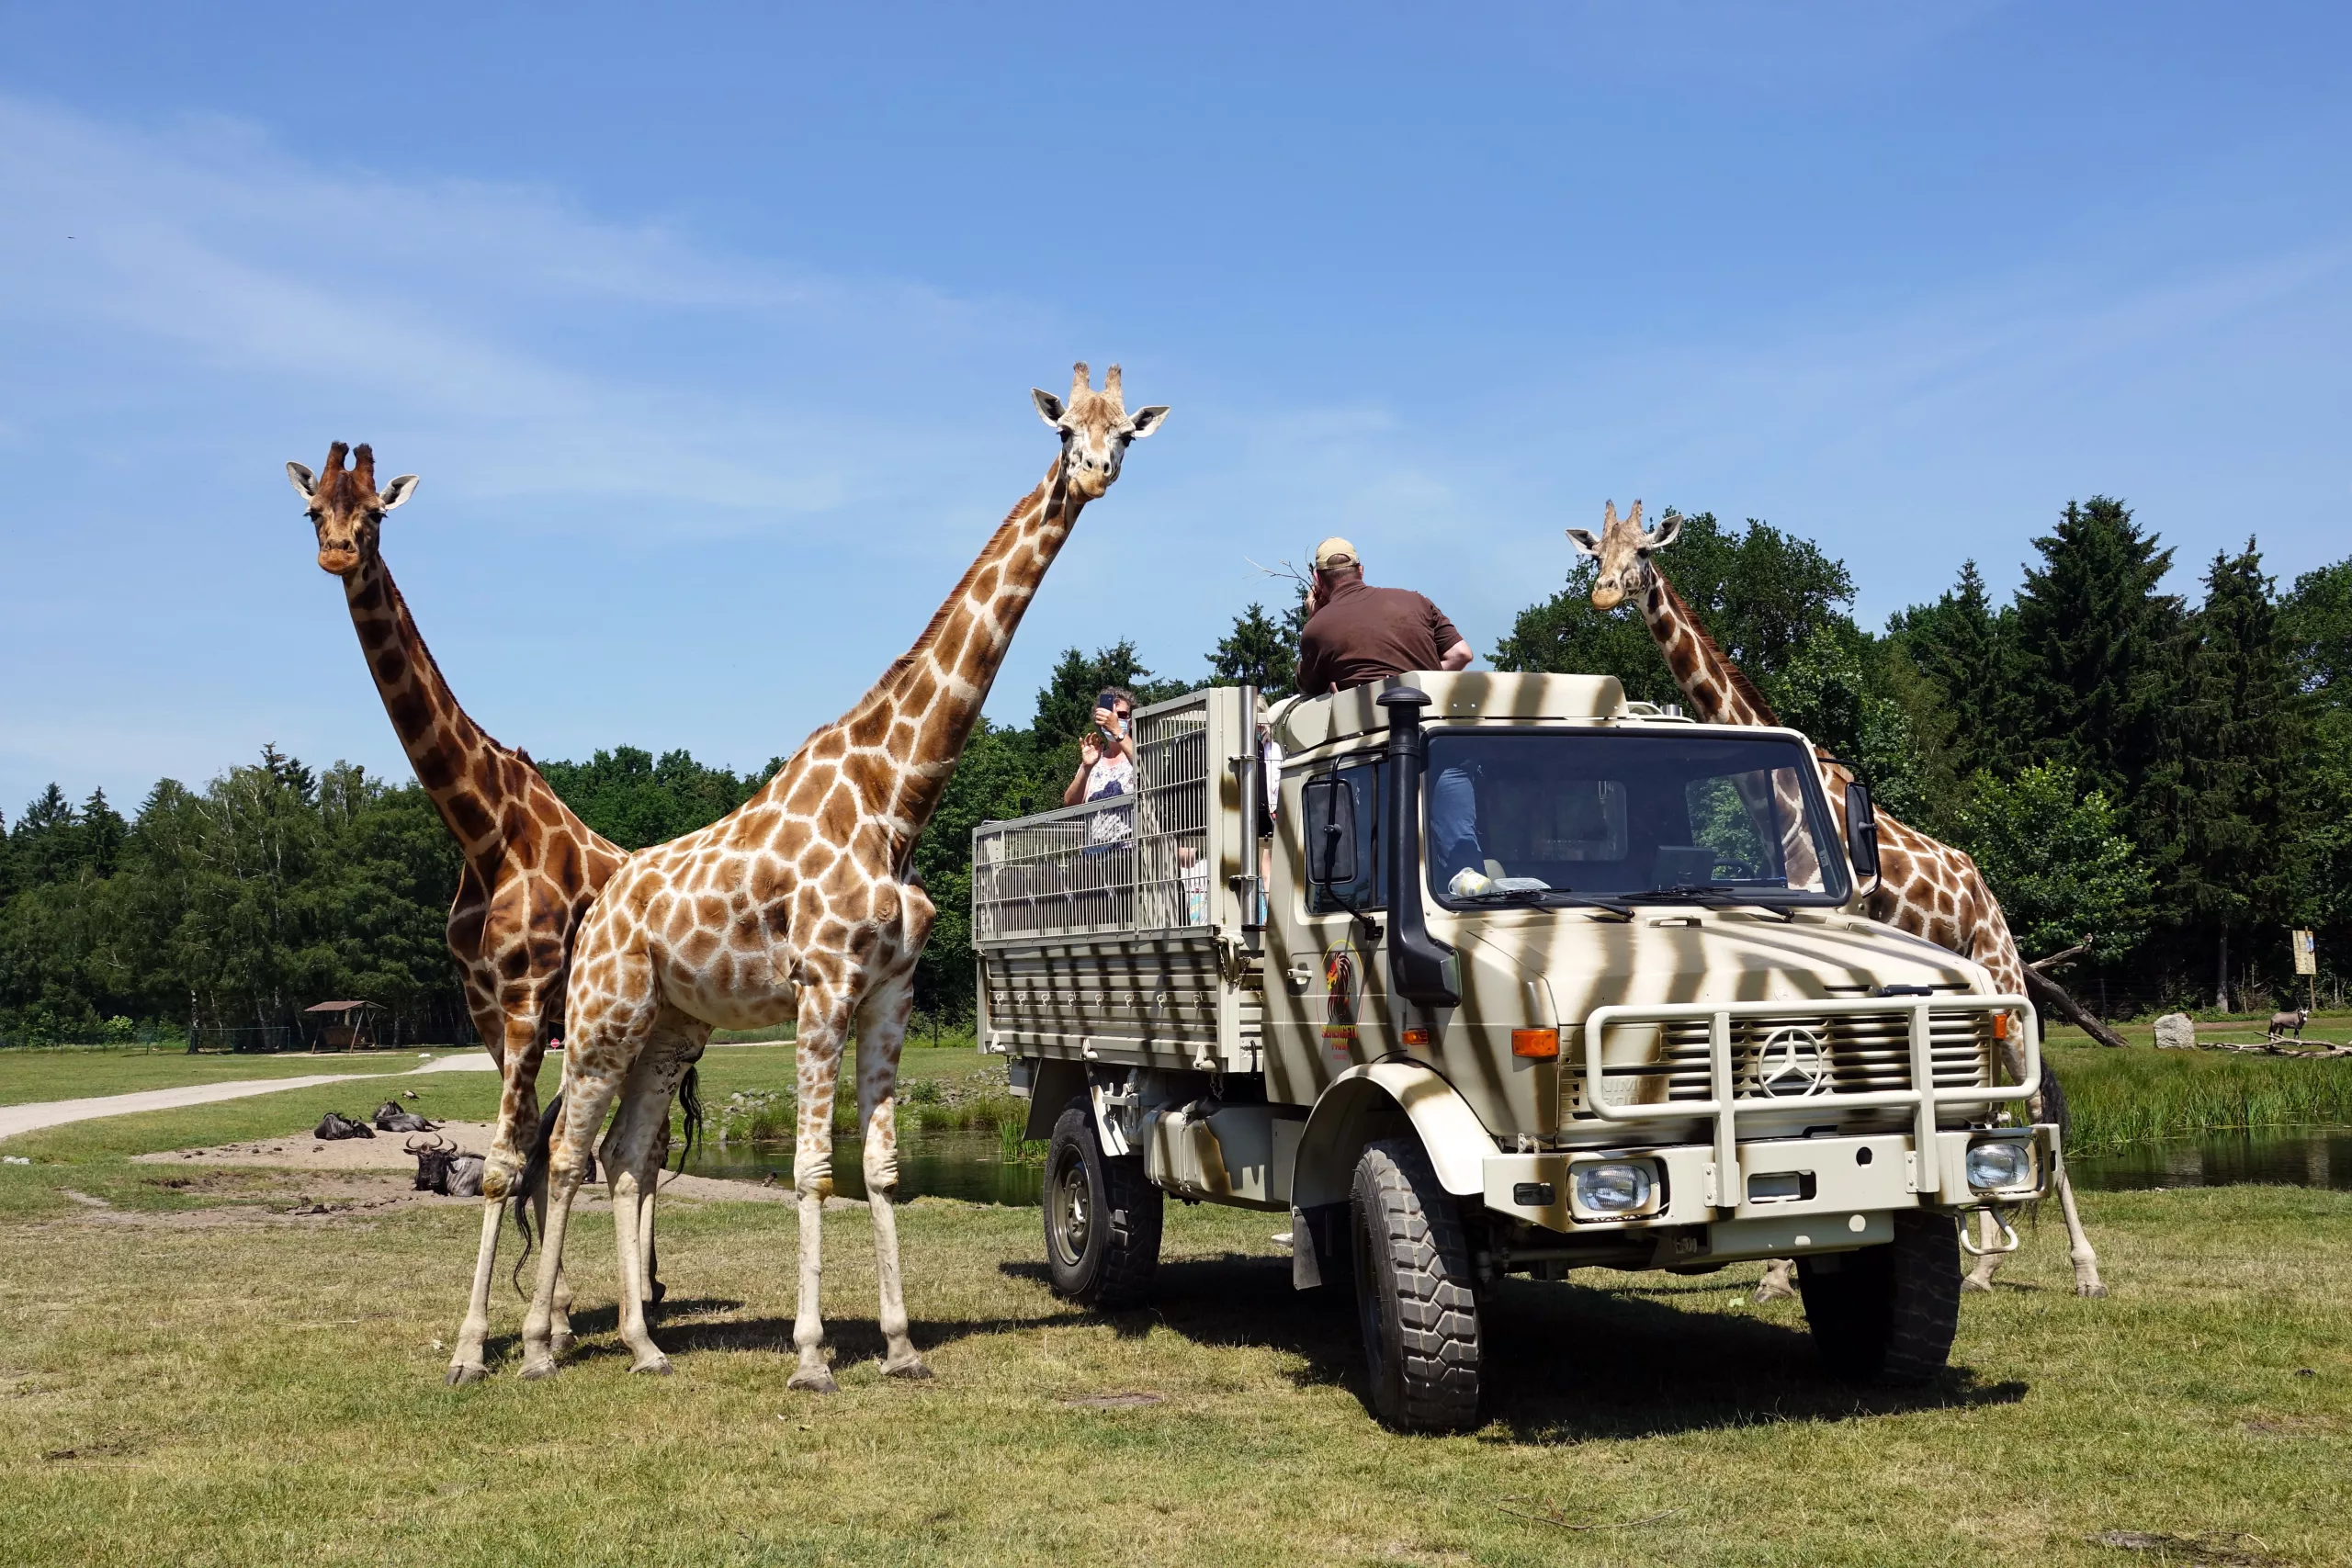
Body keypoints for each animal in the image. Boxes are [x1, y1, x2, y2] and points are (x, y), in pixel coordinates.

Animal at [283, 444, 644, 1382]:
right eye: (313, 510)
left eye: (377, 513)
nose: (338, 553)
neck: (483, 829)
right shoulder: (486, 1008)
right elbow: (519, 1158)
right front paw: (544, 1326)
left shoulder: (525, 998)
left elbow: (506, 1163)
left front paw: (482, 1346)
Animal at [522, 362, 1166, 1382]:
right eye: (1065, 428)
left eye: (1126, 433)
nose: (1096, 474)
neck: (892, 799)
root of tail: (600, 904)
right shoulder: (821, 986)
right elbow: (811, 1170)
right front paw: (812, 1354)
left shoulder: (889, 991)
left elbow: (881, 1169)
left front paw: (900, 1346)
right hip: (601, 1017)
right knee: (564, 1154)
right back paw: (540, 1347)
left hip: (672, 1027)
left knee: (622, 1156)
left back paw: (643, 1344)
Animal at [973, 677, 2060, 1438]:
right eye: (1353, 826)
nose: (1790, 1063)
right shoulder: (1423, 1107)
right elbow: (1402, 1246)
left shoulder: (1946, 1147)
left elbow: (1900, 1239)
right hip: (1088, 1071)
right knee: (1095, 1169)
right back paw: (1087, 1247)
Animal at [1571, 502, 2107, 1297]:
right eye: (1594, 554)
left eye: (1642, 552)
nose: (1605, 594)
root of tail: (1985, 891)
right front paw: (1778, 1267)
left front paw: (1779, 1269)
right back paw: (1983, 1264)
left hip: (2003, 976)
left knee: (2034, 1099)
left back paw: (2083, 1269)